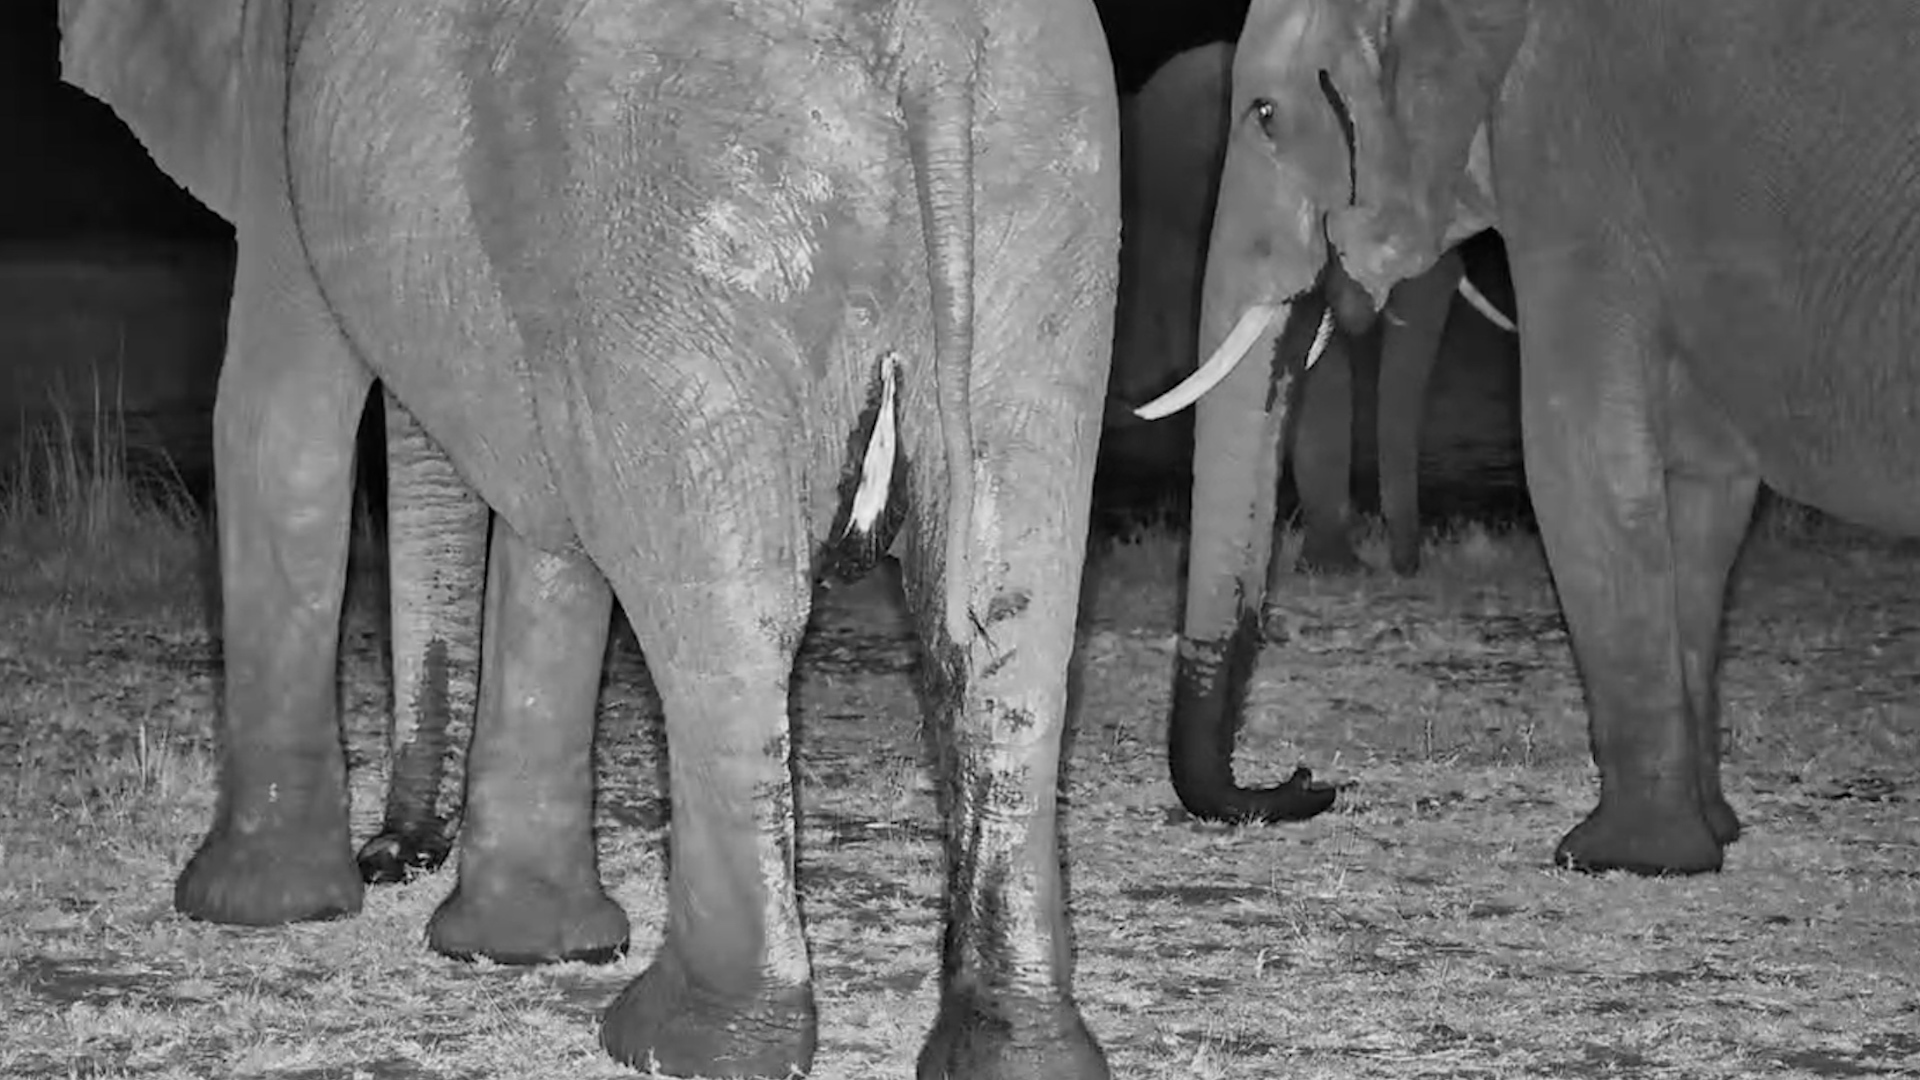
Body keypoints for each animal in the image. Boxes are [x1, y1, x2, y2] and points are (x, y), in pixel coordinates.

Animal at [60, 0, 1119, 1075]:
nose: (393, 856)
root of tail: (927, 43)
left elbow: (278, 425)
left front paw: (251, 910)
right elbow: (550, 524)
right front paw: (526, 946)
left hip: (670, 203)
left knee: (731, 610)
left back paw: (681, 1041)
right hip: (1042, 197)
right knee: (1004, 613)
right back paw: (1019, 1051)